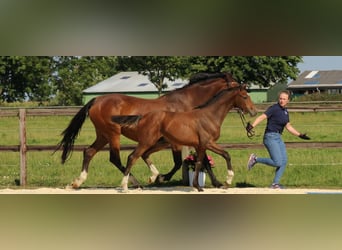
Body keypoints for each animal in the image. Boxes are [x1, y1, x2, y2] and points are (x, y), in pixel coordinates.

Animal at [55, 71, 238, 188]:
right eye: (237, 84)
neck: (187, 103)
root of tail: (96, 100)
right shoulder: (178, 142)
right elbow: (180, 162)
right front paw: (160, 178)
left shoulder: (193, 140)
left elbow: (204, 160)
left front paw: (217, 183)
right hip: (113, 134)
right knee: (115, 158)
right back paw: (134, 183)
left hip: (103, 135)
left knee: (89, 152)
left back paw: (78, 182)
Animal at [113, 84, 258, 191]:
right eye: (245, 96)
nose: (254, 111)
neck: (209, 116)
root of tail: (143, 116)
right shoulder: (206, 143)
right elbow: (205, 161)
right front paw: (204, 185)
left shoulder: (202, 145)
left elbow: (214, 158)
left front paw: (221, 182)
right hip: (147, 141)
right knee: (132, 157)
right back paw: (126, 186)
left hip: (155, 143)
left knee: (143, 155)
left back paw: (154, 177)